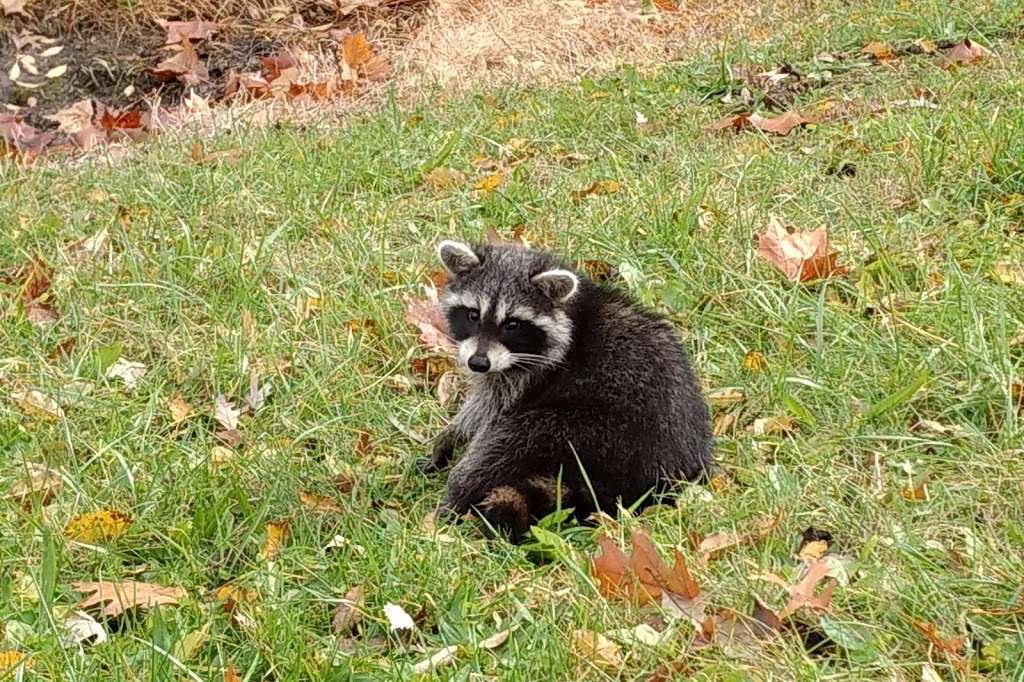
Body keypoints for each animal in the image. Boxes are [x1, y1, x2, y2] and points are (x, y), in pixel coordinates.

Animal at [419, 238, 716, 536]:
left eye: (512, 324)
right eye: (473, 315)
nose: (478, 363)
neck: (569, 309)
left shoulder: (533, 373)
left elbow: (489, 412)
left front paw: (454, 449)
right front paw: (450, 437)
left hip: (594, 431)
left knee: (511, 438)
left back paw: (454, 499)